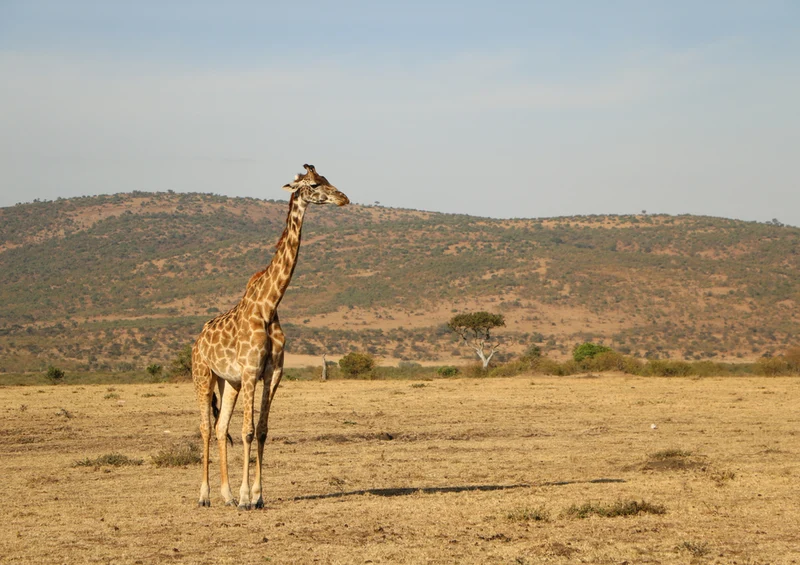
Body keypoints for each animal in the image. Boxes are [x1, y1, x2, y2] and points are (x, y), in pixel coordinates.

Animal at [192, 164, 349, 509]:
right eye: (314, 185)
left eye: (328, 180)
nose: (344, 198)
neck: (269, 305)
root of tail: (197, 341)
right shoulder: (251, 371)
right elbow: (248, 431)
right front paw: (246, 498)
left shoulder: (272, 373)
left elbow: (262, 430)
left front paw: (258, 495)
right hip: (203, 376)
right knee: (206, 427)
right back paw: (205, 495)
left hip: (229, 382)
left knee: (221, 427)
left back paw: (225, 496)